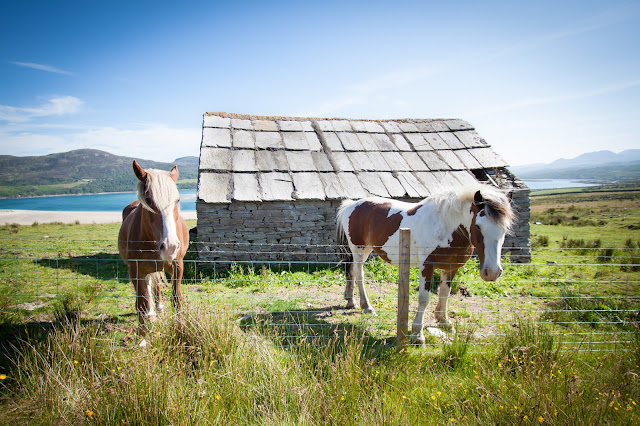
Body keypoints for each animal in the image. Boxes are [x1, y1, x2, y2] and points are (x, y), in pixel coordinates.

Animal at [117, 160, 189, 346]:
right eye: (149, 200)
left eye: (177, 200)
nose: (170, 246)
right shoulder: (135, 270)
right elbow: (141, 303)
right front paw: (142, 339)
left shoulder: (177, 266)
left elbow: (176, 298)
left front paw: (180, 330)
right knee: (148, 287)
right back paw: (151, 313)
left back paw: (158, 308)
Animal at [336, 185, 516, 344]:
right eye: (478, 226)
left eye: (506, 228)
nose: (492, 272)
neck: (447, 226)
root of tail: (351, 205)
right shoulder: (427, 266)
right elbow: (424, 299)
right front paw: (418, 334)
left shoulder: (451, 267)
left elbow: (445, 293)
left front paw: (444, 322)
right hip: (360, 250)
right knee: (359, 274)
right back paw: (367, 306)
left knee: (351, 272)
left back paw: (350, 301)